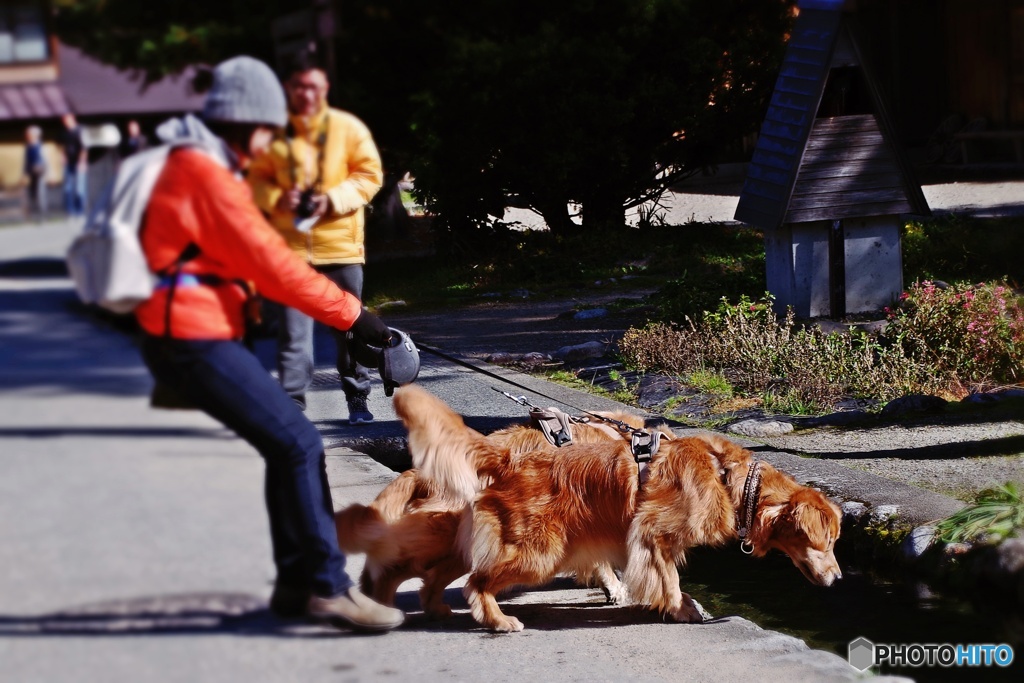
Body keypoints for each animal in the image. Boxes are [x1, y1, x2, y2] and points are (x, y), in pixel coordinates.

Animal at [391, 387, 839, 634]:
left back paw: (435, 606)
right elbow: (669, 578)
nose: (837, 579)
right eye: (827, 542)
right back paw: (497, 620)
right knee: (476, 582)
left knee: (440, 574)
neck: (729, 478)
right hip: (539, 552)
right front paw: (680, 609)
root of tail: (507, 454)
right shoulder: (650, 533)